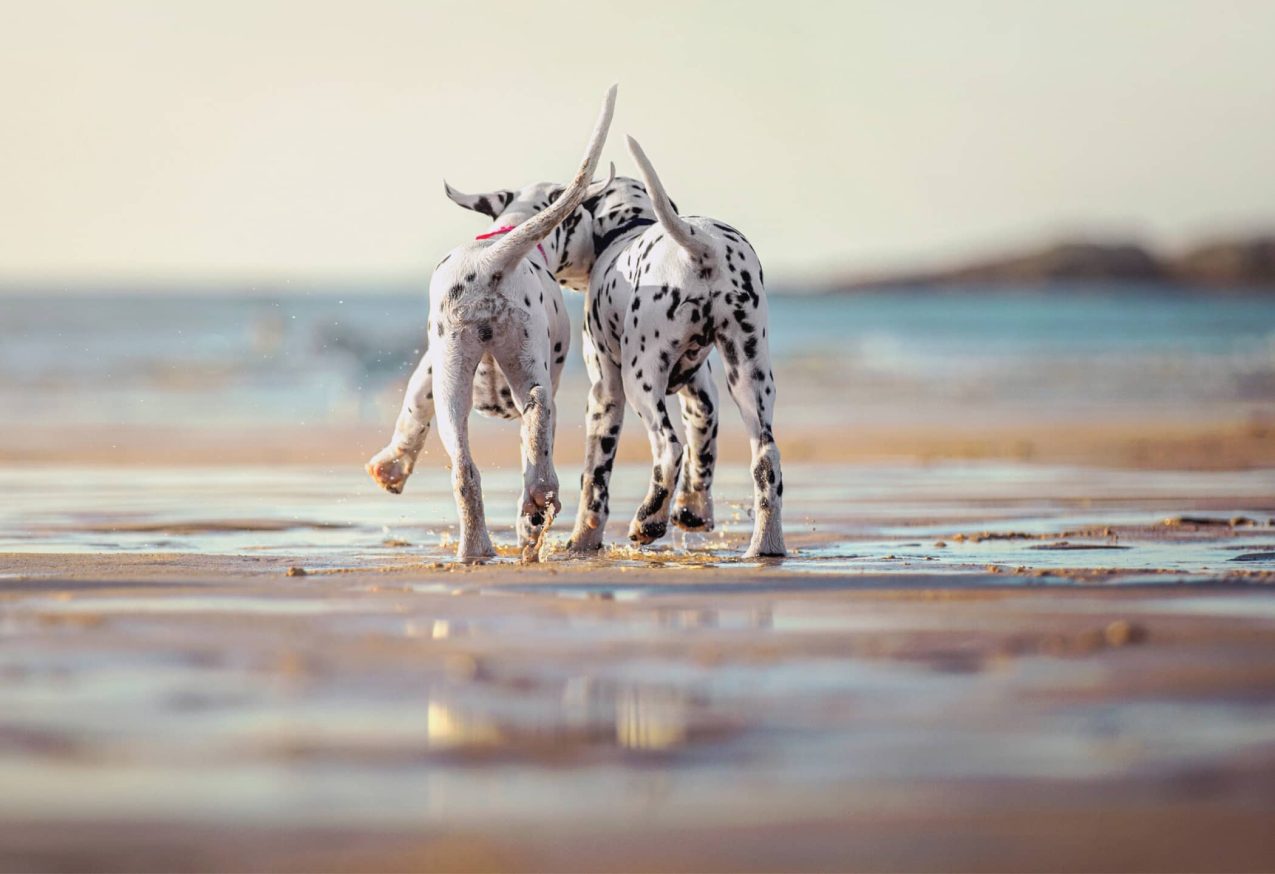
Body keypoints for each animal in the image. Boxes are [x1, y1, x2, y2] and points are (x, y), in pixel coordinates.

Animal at [364, 83, 617, 558]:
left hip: (454, 380)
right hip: (522, 368)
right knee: (537, 416)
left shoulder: (430, 369)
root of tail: (491, 262)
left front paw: (391, 467)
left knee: (466, 469)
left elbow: (412, 409)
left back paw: (480, 545)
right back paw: (536, 501)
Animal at [566, 137, 780, 558]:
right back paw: (765, 546)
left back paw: (648, 521)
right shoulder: (702, 395)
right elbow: (703, 456)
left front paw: (581, 540)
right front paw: (692, 512)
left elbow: (594, 480)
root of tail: (701, 245)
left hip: (640, 381)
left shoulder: (604, 395)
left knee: (669, 450)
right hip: (750, 378)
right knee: (766, 463)